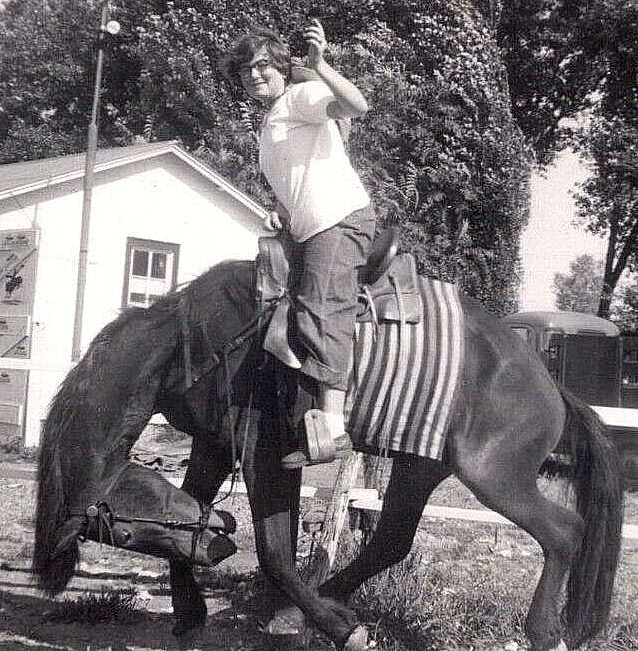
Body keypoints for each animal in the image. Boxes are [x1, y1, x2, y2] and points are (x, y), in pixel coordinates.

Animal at [33, 255, 624, 651]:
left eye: (125, 536)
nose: (223, 540)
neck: (191, 343)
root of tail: (552, 387)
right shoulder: (215, 443)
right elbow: (198, 507)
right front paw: (192, 610)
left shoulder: (265, 451)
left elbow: (275, 550)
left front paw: (339, 627)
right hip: (421, 467)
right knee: (391, 541)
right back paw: (302, 609)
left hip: (495, 478)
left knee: (564, 532)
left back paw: (544, 632)